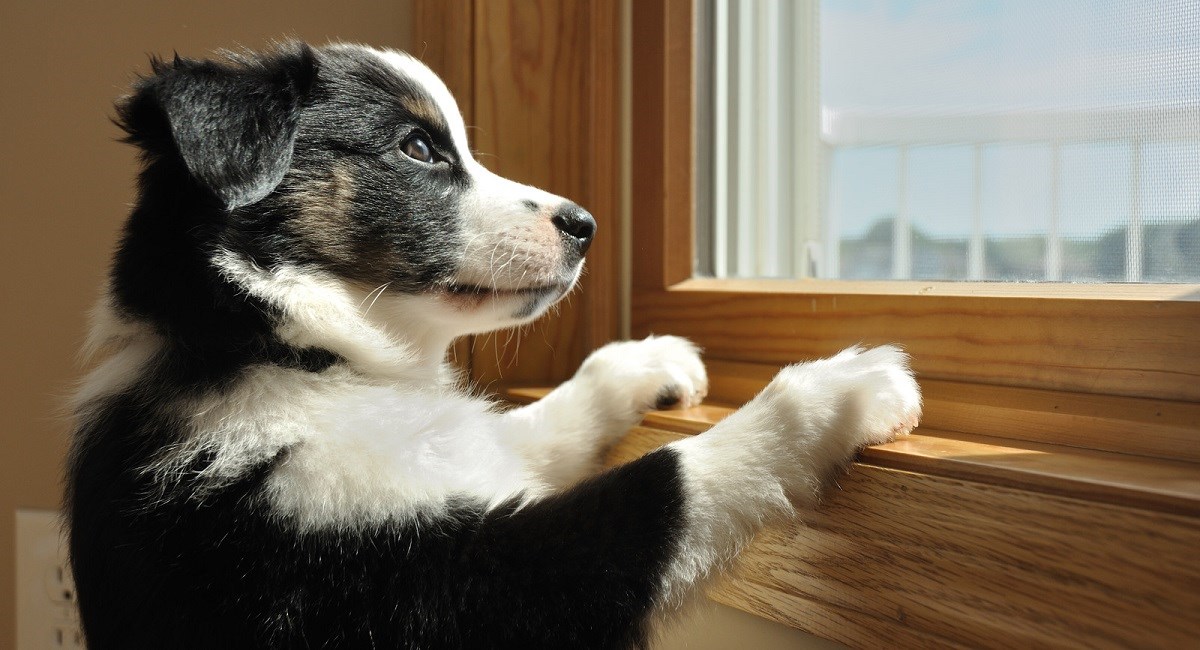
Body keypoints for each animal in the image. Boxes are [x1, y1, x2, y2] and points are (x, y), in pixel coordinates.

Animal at [70, 43, 921, 647]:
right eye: (418, 148)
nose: (585, 226)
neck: (303, 354)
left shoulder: (474, 460)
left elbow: (540, 425)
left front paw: (648, 361)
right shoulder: (429, 588)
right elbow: (668, 480)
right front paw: (840, 390)